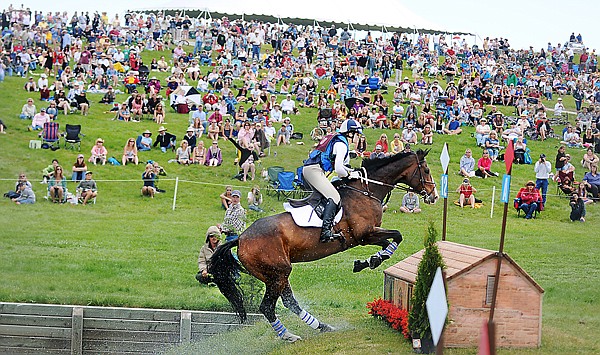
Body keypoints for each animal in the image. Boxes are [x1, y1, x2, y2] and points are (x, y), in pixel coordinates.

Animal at [209, 149, 438, 342]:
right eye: (426, 170)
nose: (434, 195)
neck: (366, 190)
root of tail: (241, 238)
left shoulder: (366, 236)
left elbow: (389, 243)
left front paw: (369, 261)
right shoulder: (365, 234)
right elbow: (398, 236)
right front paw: (371, 261)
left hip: (276, 274)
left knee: (290, 301)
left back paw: (323, 327)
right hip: (278, 272)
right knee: (267, 307)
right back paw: (288, 336)